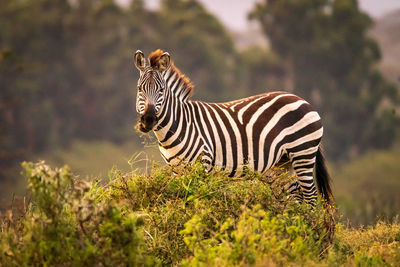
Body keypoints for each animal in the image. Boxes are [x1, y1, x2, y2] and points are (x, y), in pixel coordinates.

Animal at [133, 49, 332, 206]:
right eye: (140, 89)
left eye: (161, 91)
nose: (148, 120)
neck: (180, 124)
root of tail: (303, 100)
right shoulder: (176, 170)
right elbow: (180, 199)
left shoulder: (202, 166)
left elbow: (197, 201)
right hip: (283, 163)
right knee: (295, 197)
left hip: (302, 154)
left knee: (310, 196)